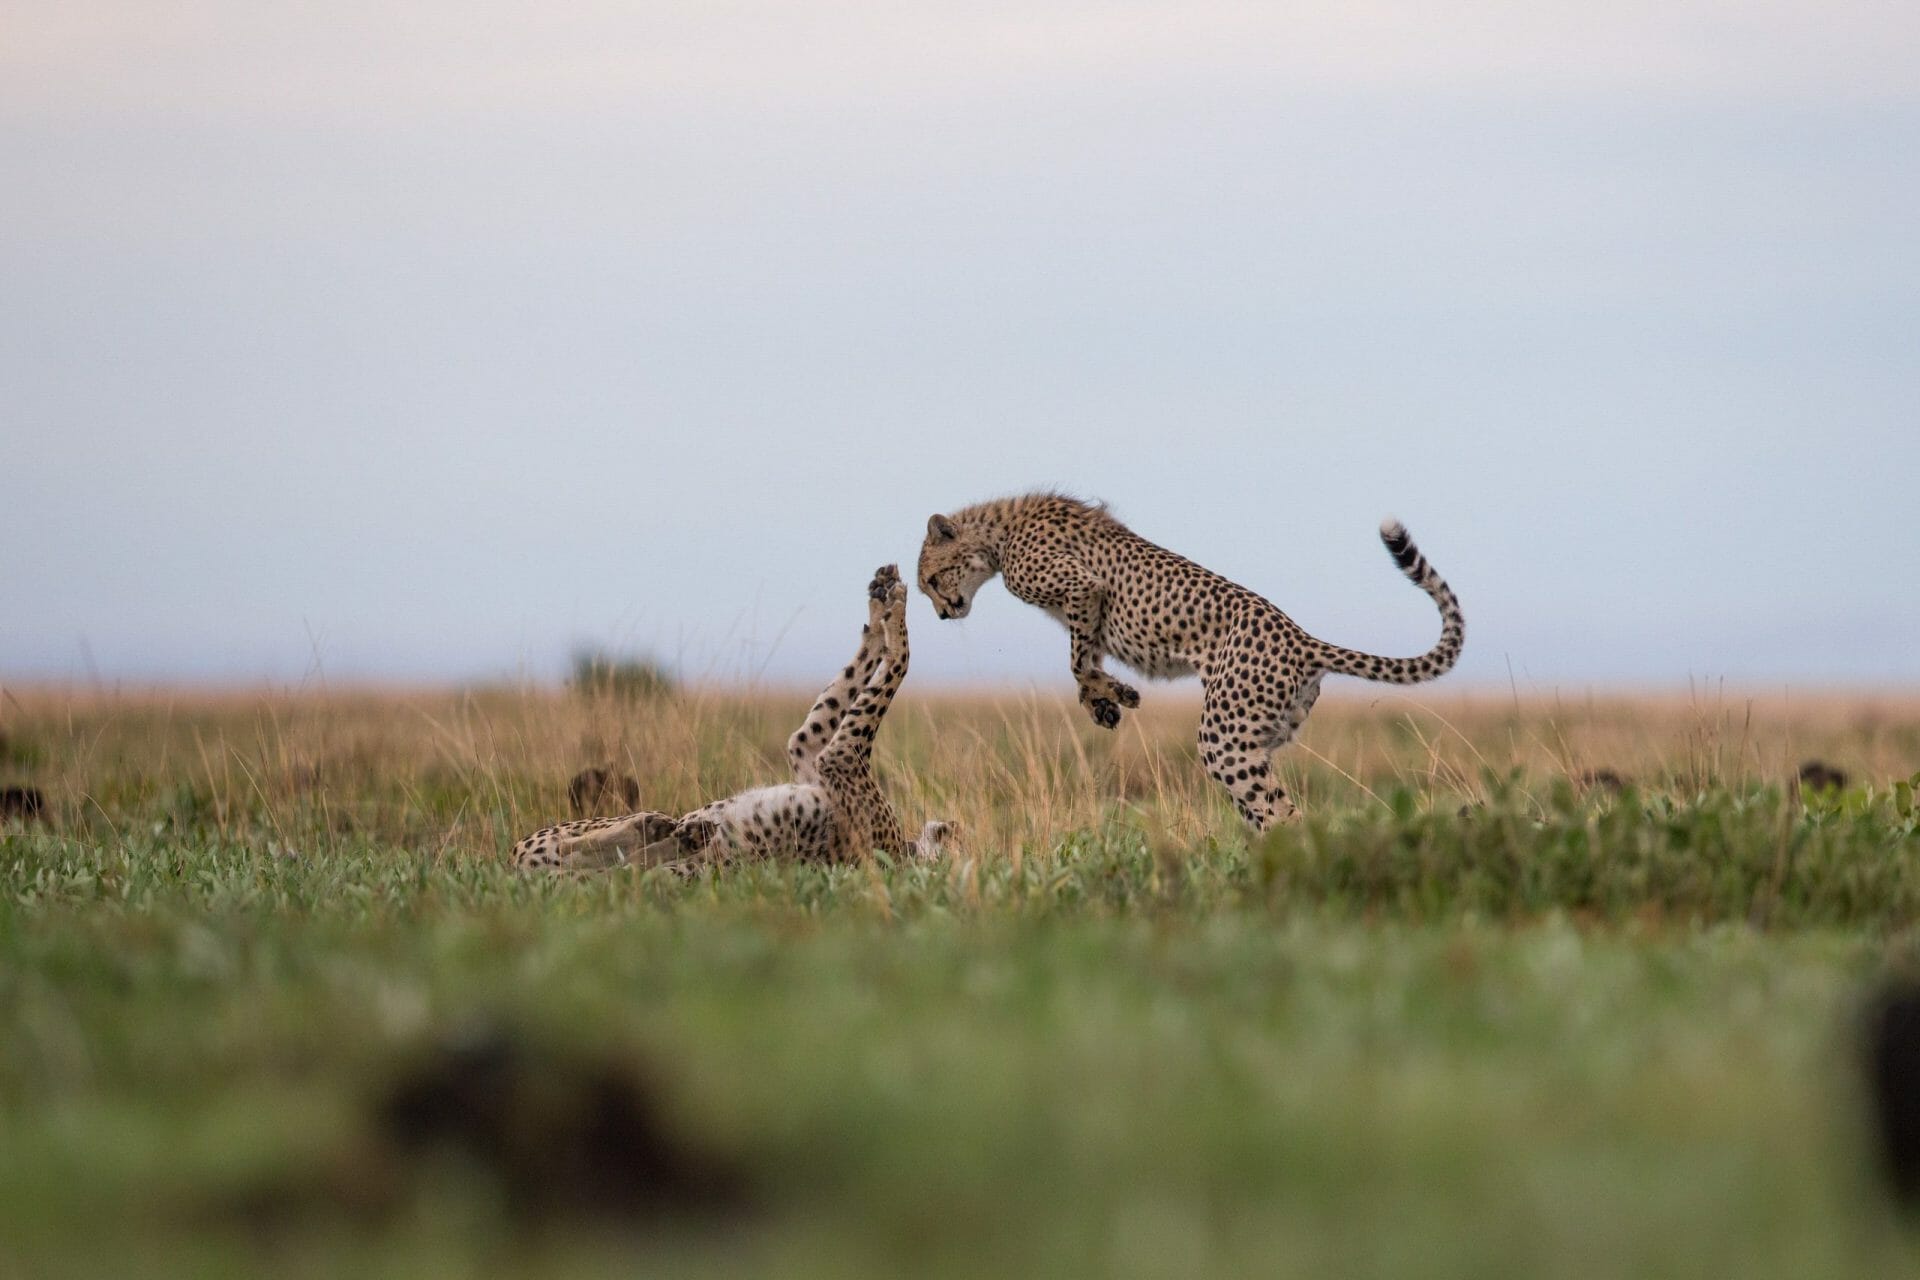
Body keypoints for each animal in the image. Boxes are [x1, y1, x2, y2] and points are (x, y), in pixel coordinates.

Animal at [514, 568, 956, 871]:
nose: (951, 826)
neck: (905, 851)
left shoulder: (838, 758)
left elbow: (900, 663)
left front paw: (896, 611)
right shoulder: (810, 753)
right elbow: (842, 691)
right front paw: (882, 607)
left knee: (606, 860)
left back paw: (662, 835)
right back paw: (667, 831)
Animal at [921, 491, 1459, 832]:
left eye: (929, 579)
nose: (943, 613)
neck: (998, 534)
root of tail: (1302, 638)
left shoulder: (1083, 589)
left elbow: (1077, 660)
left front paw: (1113, 694)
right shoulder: (1086, 609)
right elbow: (1085, 658)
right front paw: (1107, 702)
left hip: (1224, 737)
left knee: (1281, 813)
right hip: (1260, 735)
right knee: (1267, 809)